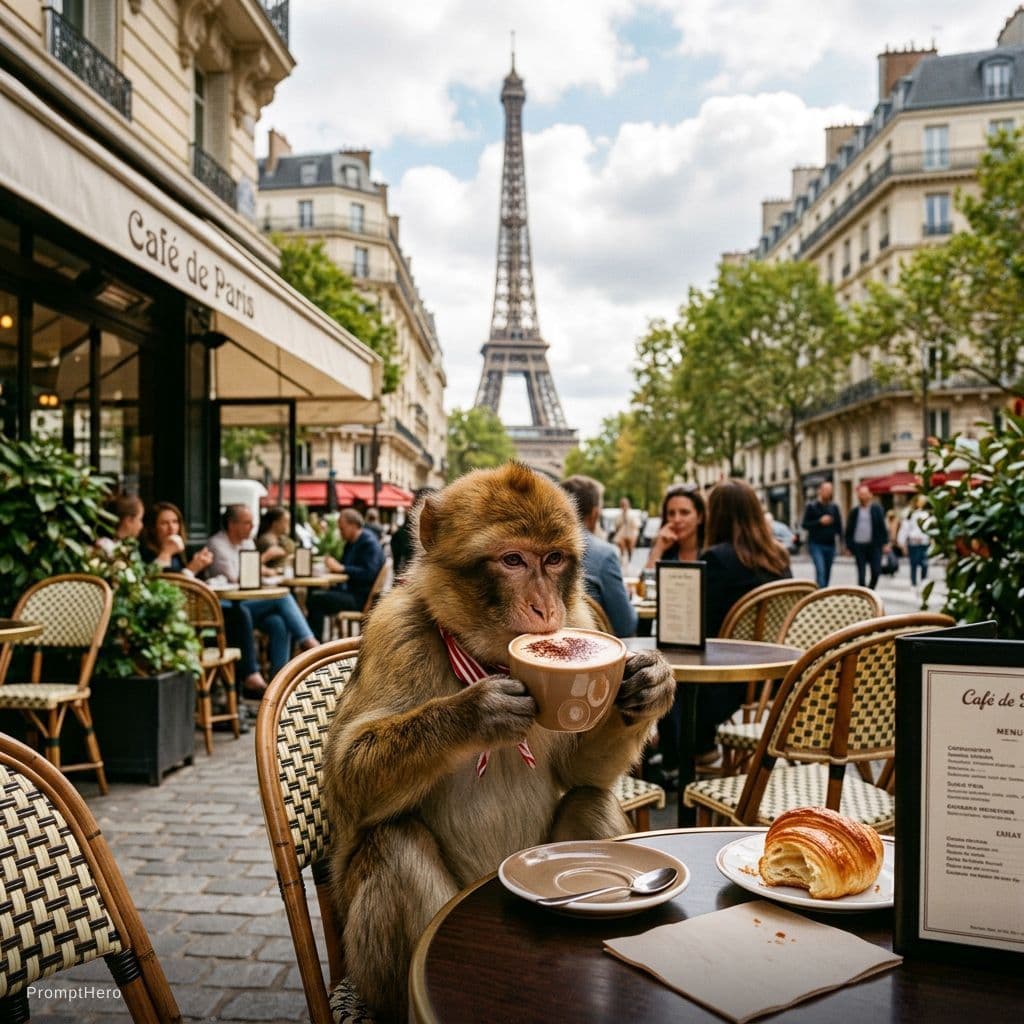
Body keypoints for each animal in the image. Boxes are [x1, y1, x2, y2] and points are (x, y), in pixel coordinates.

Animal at [322, 463, 675, 1021]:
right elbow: (345, 778)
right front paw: (476, 713)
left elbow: (578, 773)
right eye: (513, 560)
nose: (544, 606)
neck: (487, 656)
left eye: (552, 559)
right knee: (394, 842)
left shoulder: (580, 621)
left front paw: (649, 682)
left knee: (591, 800)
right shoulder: (395, 633)